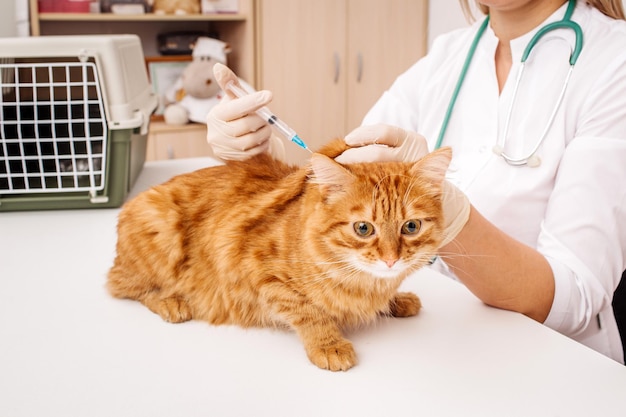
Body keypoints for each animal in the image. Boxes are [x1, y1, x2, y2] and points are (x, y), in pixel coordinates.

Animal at [107, 140, 448, 370]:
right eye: (363, 228)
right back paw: (171, 301)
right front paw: (329, 344)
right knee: (124, 286)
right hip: (160, 229)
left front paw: (396, 300)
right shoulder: (260, 273)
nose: (391, 259)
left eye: (411, 226)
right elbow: (309, 312)